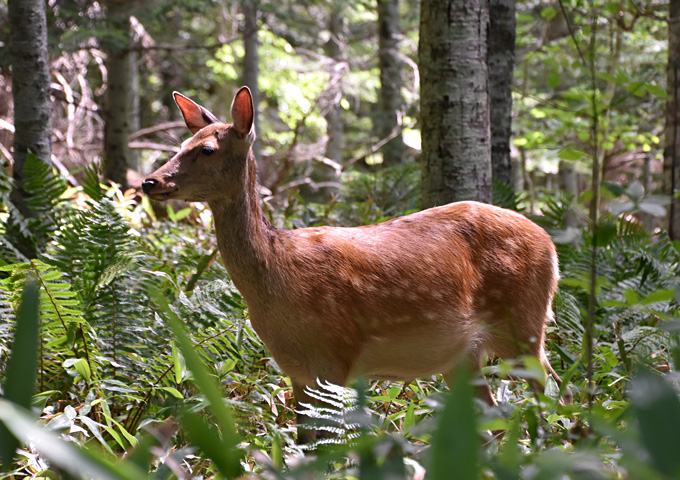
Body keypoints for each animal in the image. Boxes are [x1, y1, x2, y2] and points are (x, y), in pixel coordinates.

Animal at [143, 87, 572, 442]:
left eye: (207, 149)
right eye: (181, 143)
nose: (150, 181)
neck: (278, 277)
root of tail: (550, 244)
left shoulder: (334, 354)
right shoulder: (298, 370)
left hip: (522, 322)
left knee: (556, 390)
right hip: (464, 354)